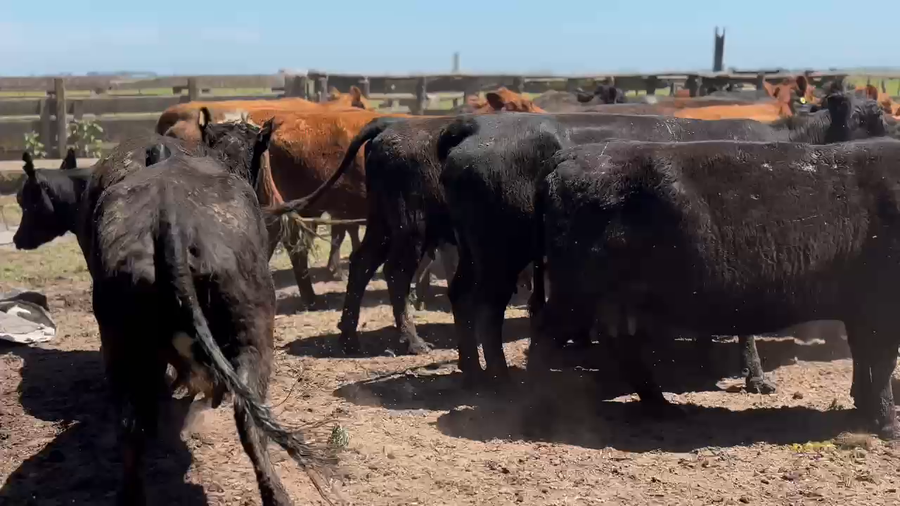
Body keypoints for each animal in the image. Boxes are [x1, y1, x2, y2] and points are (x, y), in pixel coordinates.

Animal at [13, 117, 339, 506]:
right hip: (253, 337)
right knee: (248, 419)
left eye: (29, 204)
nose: (17, 239)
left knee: (132, 425)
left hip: (124, 348)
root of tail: (170, 215)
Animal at [436, 93, 887, 387]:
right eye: (877, 114)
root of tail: (475, 126)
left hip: (475, 250)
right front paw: (753, 375)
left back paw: (471, 370)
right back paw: (497, 375)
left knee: (462, 295)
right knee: (487, 305)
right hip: (501, 251)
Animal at [531, 137, 900, 439]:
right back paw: (538, 411)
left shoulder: (862, 309)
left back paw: (660, 405)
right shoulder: (882, 308)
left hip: (615, 298)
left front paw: (865, 407)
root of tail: (569, 155)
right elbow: (882, 363)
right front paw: (887, 422)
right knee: (544, 339)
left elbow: (865, 358)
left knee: (619, 345)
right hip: (577, 292)